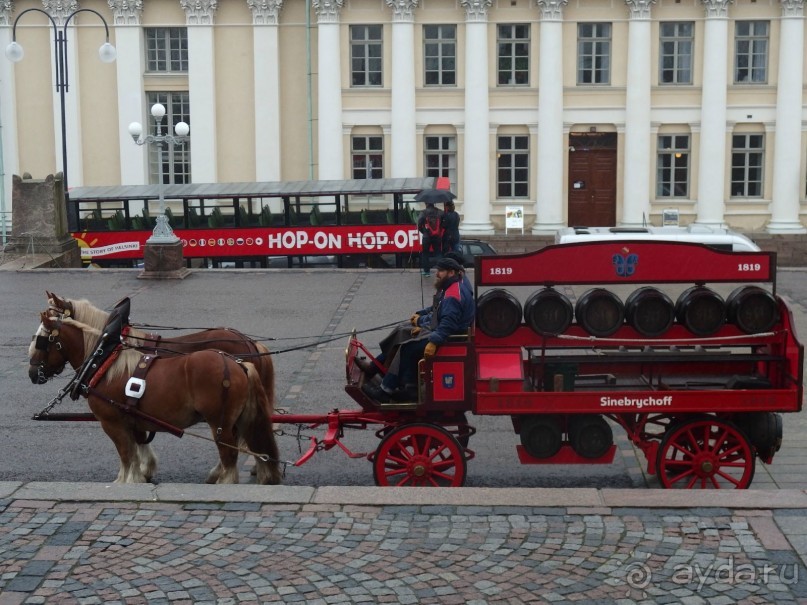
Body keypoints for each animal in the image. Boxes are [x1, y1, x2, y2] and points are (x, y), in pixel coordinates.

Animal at [29, 310, 280, 484]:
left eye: (41, 340)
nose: (32, 373)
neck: (104, 364)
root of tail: (238, 363)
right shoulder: (134, 420)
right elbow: (137, 450)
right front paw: (143, 474)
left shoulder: (111, 422)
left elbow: (126, 454)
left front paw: (126, 480)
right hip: (238, 419)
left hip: (220, 423)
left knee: (229, 454)